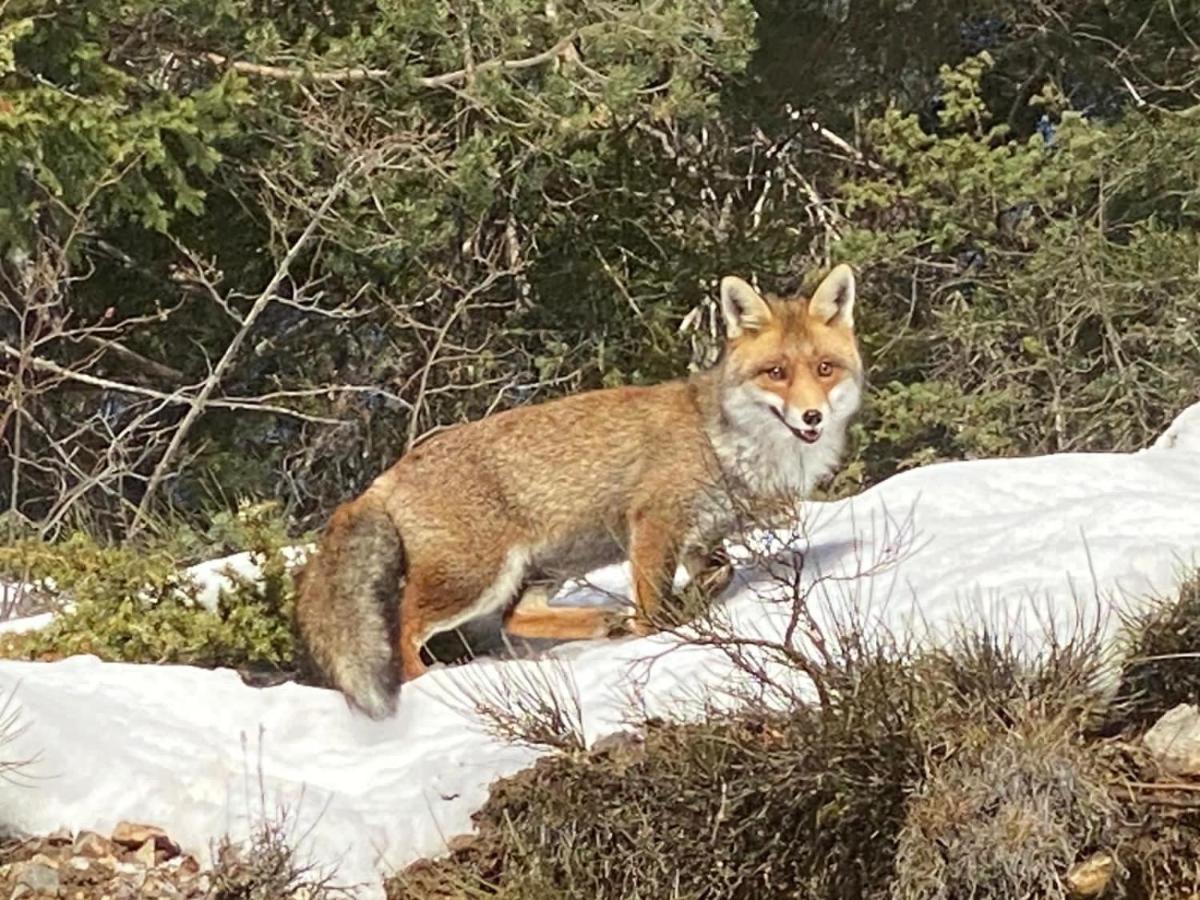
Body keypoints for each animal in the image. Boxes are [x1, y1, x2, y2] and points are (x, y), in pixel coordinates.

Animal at [296, 266, 868, 720]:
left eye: (824, 369)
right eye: (776, 373)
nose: (812, 417)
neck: (724, 441)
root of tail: (386, 477)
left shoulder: (701, 536)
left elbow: (718, 575)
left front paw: (688, 607)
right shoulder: (655, 523)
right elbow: (653, 607)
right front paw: (660, 633)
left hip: (543, 569)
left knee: (512, 618)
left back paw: (600, 624)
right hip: (474, 579)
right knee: (404, 630)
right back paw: (430, 686)